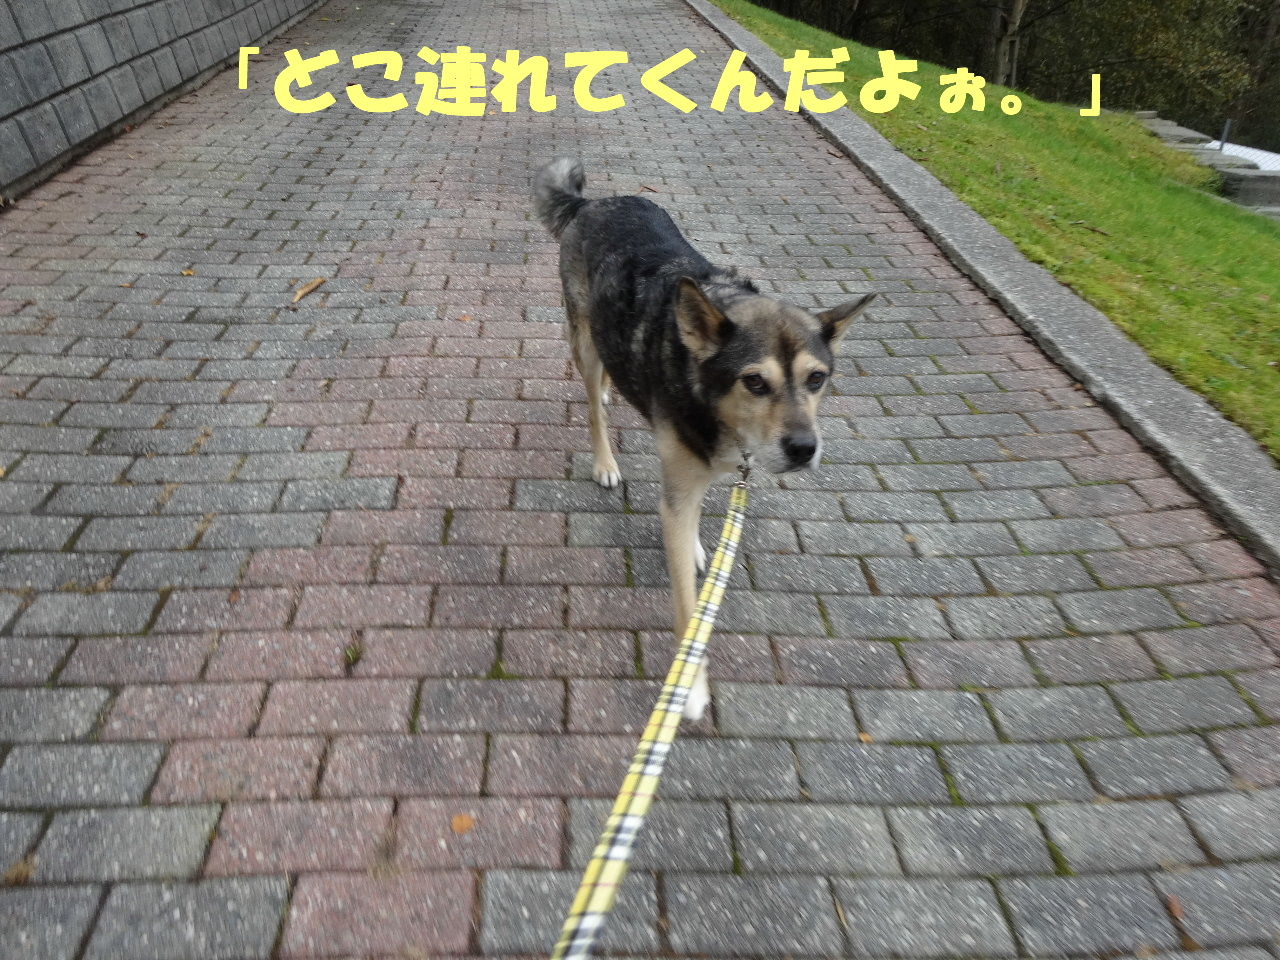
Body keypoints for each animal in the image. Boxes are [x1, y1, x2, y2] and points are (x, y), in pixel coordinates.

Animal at [534, 158, 876, 720]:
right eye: (755, 382)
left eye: (817, 379)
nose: (804, 450)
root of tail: (593, 202)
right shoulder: (677, 489)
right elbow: (688, 605)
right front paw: (690, 687)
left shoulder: (709, 471)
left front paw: (697, 546)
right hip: (582, 337)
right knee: (591, 406)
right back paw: (604, 457)